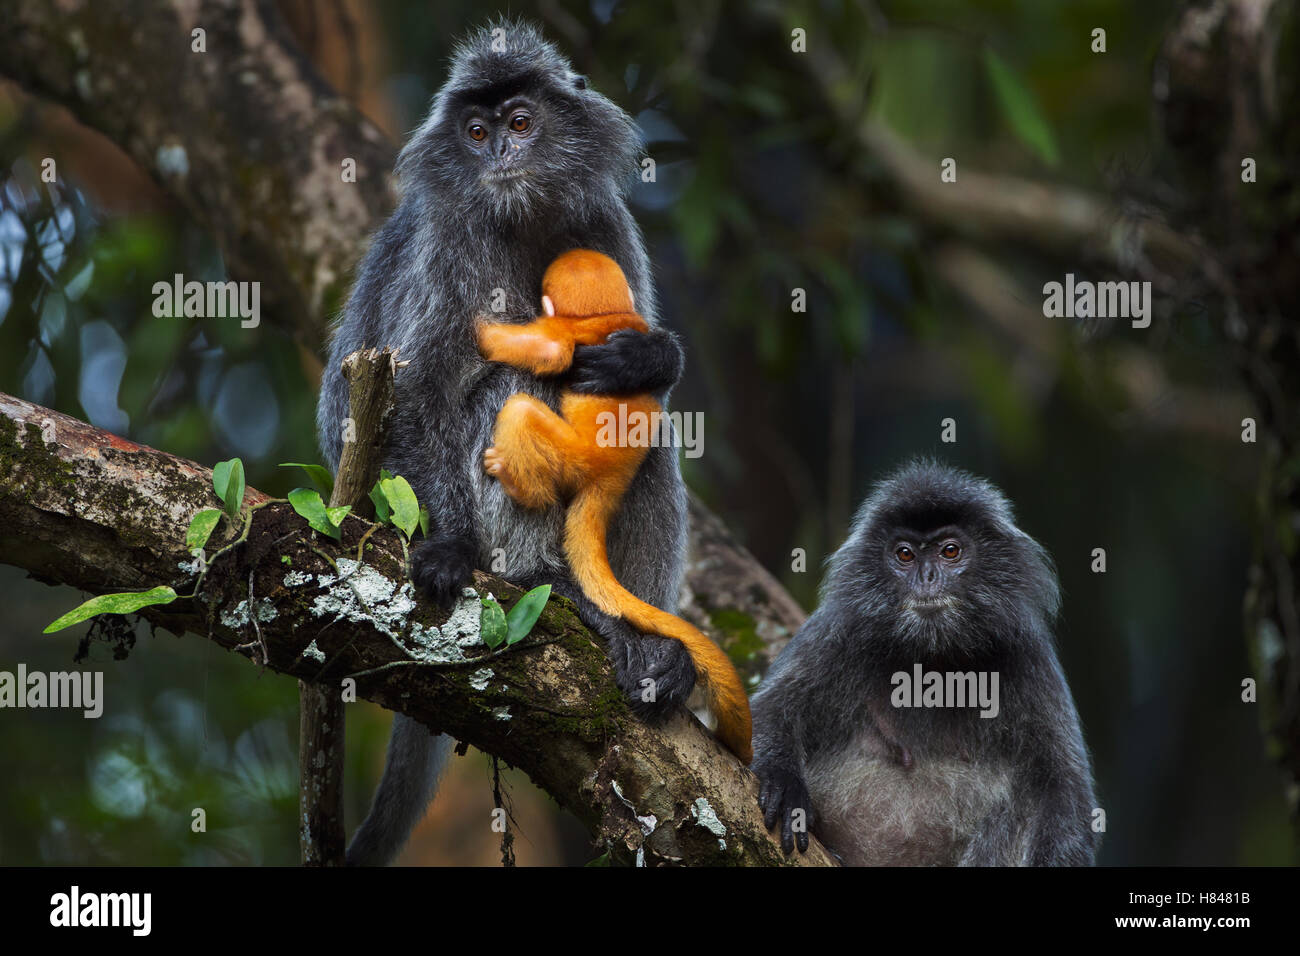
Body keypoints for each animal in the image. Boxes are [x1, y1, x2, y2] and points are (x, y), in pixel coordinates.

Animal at [317, 21, 696, 866]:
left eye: (520, 125)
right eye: (477, 133)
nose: (500, 159)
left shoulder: (606, 223)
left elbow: (649, 387)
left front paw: (649, 358)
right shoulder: (450, 247)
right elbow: (418, 396)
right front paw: (453, 550)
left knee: (650, 441)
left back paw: (638, 637)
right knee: (506, 386)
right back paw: (542, 578)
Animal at [475, 248, 752, 763]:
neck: (605, 315)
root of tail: (608, 480)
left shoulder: (562, 331)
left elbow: (543, 352)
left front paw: (481, 330)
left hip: (570, 456)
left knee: (520, 406)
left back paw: (517, 481)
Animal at [750, 460, 1098, 866]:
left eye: (950, 551)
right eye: (905, 555)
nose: (927, 578)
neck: (931, 659)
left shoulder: (1027, 655)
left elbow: (1061, 791)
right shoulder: (838, 629)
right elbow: (769, 711)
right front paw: (785, 786)